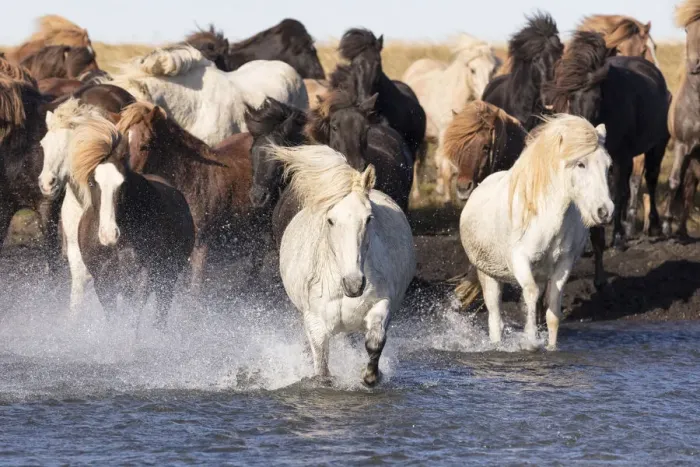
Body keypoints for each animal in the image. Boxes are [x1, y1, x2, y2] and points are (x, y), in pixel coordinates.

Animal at [69, 114, 194, 327]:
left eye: (123, 183)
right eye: (93, 182)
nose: (109, 234)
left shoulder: (143, 277)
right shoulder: (104, 283)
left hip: (168, 279)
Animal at [273, 144, 415, 385]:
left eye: (368, 218)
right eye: (331, 220)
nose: (354, 284)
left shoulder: (382, 304)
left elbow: (375, 341)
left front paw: (370, 377)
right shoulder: (315, 321)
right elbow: (321, 367)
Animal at [459, 115, 613, 350]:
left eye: (608, 166)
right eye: (581, 163)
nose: (605, 211)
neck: (546, 217)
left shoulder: (564, 264)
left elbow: (553, 310)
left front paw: (551, 347)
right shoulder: (519, 260)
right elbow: (530, 294)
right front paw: (530, 342)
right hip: (488, 275)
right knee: (495, 318)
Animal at [547, 31, 670, 288]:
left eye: (597, 97)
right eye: (569, 97)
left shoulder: (620, 158)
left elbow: (619, 194)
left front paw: (618, 238)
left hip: (657, 146)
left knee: (650, 181)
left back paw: (651, 227)